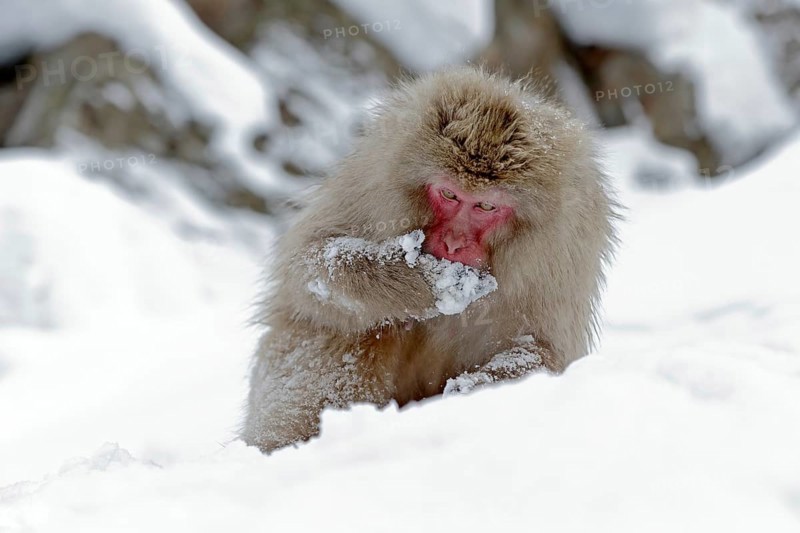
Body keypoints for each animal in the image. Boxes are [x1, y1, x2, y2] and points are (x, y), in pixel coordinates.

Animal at [242, 67, 618, 453]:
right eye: (450, 194)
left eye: (486, 206)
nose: (453, 243)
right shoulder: (376, 176)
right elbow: (308, 265)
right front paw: (419, 281)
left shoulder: (566, 245)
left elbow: (546, 350)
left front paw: (473, 390)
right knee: (345, 330)